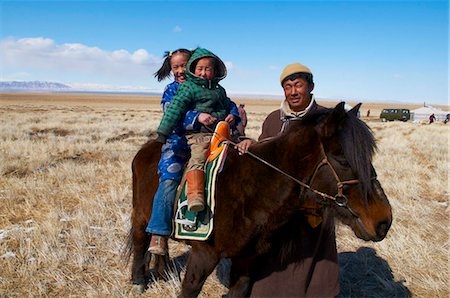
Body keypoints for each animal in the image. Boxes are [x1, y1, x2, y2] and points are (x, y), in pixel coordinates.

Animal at [125, 102, 392, 296]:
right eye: (344, 160)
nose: (384, 221)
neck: (251, 191)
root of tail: (146, 148)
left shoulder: (247, 260)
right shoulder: (204, 255)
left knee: (160, 240)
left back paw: (162, 271)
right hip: (140, 215)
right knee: (140, 241)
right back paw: (139, 280)